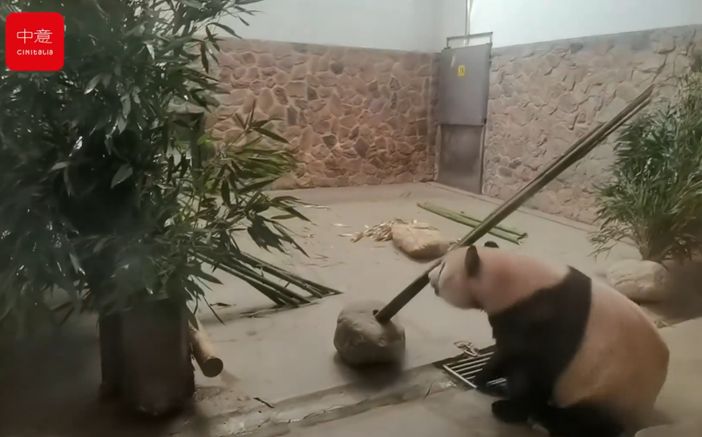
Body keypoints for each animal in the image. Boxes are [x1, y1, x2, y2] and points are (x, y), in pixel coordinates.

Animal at [428, 242, 669, 437]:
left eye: (442, 266)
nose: (429, 278)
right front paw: (493, 385)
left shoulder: (542, 317)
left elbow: (525, 364)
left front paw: (504, 406)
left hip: (611, 388)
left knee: (589, 417)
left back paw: (547, 420)